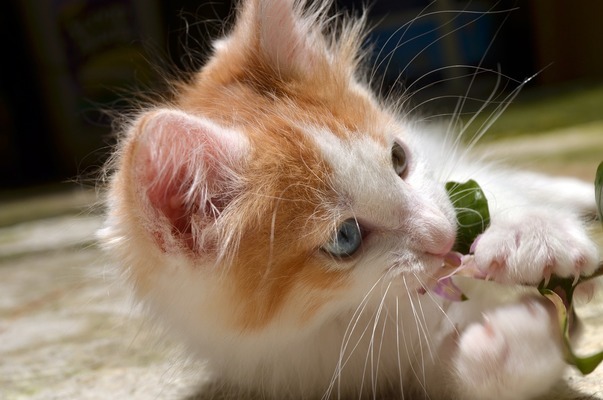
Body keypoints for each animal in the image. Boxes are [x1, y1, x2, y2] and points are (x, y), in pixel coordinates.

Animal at [99, 1, 600, 398]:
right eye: (345, 237)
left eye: (399, 158)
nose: (444, 237)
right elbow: (469, 374)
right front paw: (524, 328)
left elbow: (499, 195)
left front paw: (532, 238)